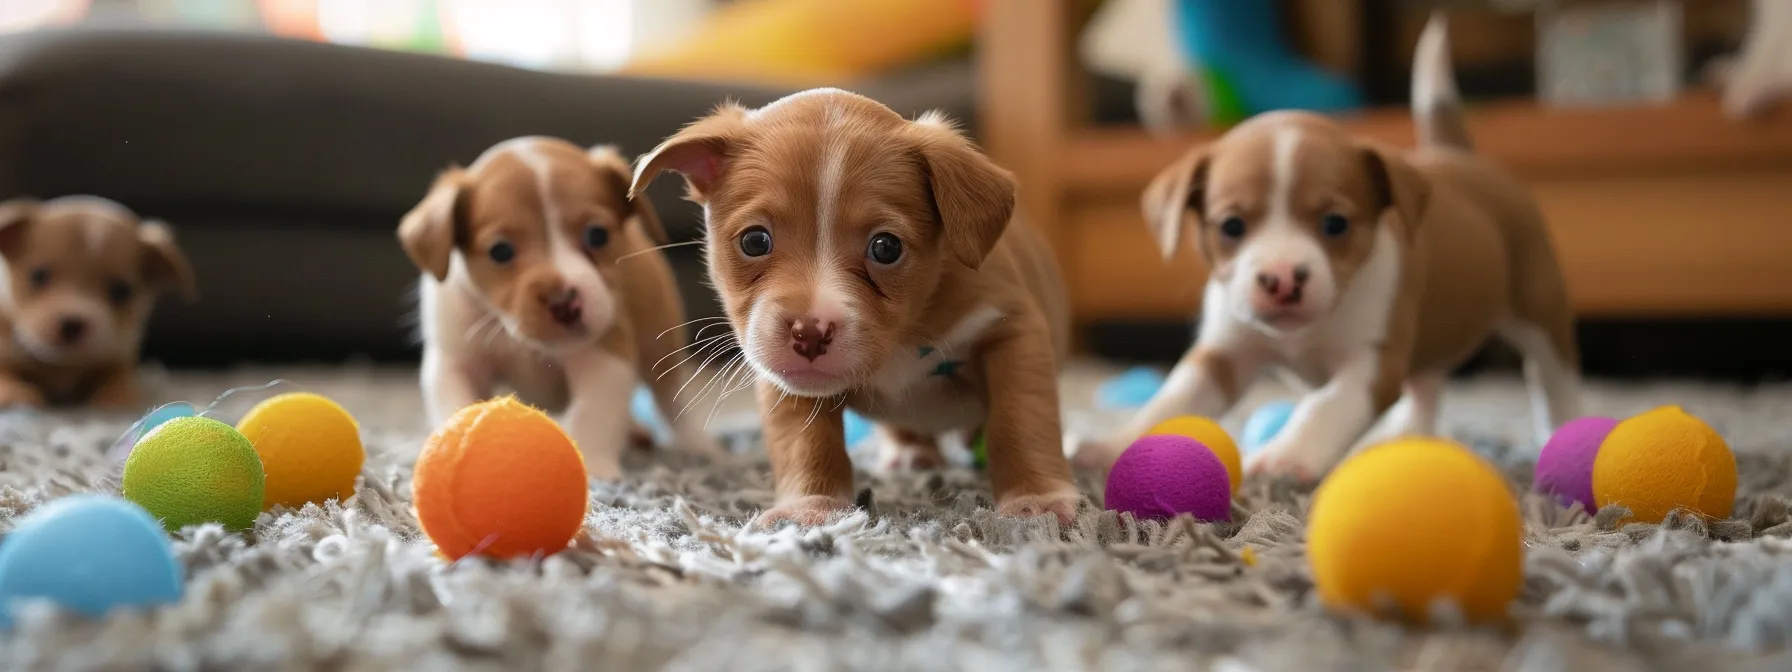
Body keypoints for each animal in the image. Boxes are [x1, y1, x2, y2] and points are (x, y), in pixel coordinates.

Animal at [0, 196, 197, 410]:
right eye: (38, 276)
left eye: (121, 290)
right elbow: (6, 373)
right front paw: (13, 393)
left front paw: (119, 395)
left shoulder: (117, 358)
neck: (63, 366)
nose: (73, 323)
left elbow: (119, 377)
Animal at [399, 137, 720, 480]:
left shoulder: (604, 357)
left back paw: (701, 448)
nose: (564, 301)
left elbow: (592, 415)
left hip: (661, 351)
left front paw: (594, 470)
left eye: (597, 235)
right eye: (500, 251)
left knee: (673, 403)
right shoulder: (456, 363)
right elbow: (457, 405)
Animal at [630, 86, 1075, 526]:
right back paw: (911, 452)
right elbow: (804, 440)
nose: (808, 334)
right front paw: (810, 508)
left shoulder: (1013, 334)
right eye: (754, 241)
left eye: (886, 247)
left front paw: (1036, 499)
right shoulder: (786, 379)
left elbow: (1021, 419)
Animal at [1068, 15, 1576, 480]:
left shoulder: (1373, 363)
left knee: (1553, 379)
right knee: (1427, 386)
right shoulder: (1224, 354)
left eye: (1335, 224)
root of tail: (1460, 156)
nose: (1281, 280)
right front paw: (1115, 444)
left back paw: (1561, 437)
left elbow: (1326, 405)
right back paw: (1405, 438)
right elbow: (1170, 399)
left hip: (1539, 308)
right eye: (1231, 226)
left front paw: (1287, 455)